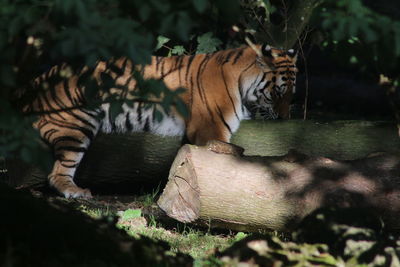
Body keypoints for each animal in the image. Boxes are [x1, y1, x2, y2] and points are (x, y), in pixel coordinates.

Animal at [22, 44, 296, 199]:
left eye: (292, 93)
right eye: (278, 92)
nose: (286, 118)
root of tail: (34, 84)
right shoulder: (210, 132)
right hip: (77, 125)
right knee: (56, 173)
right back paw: (76, 192)